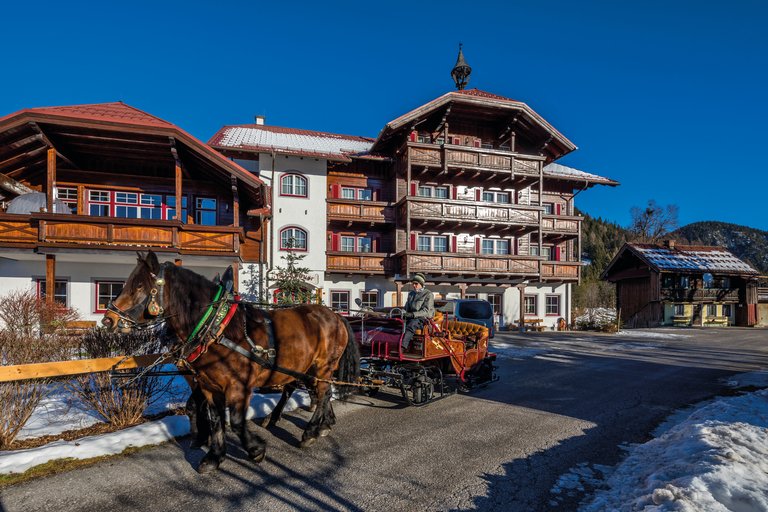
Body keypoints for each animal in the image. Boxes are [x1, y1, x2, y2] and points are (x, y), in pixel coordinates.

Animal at [101, 251, 360, 472]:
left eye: (139, 286)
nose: (108, 320)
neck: (216, 329)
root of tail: (335, 315)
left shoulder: (238, 386)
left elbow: (235, 421)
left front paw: (255, 449)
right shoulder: (208, 385)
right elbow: (215, 418)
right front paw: (213, 456)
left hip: (323, 365)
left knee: (323, 392)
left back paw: (311, 432)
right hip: (304, 366)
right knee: (311, 390)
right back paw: (318, 422)